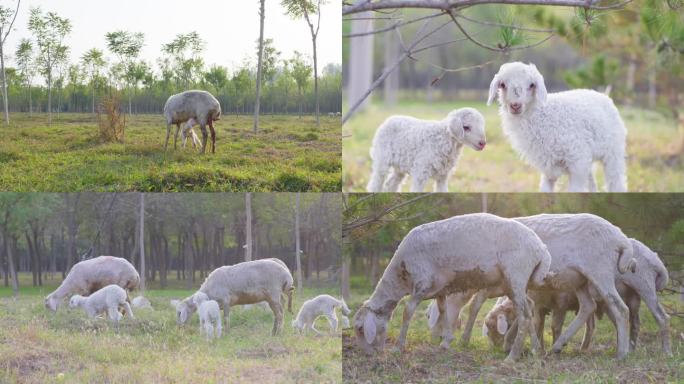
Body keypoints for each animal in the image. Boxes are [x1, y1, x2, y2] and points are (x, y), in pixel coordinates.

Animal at [352, 213, 552, 364]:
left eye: (361, 329)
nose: (368, 354)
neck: (400, 277)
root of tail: (541, 249)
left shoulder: (421, 284)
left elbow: (407, 312)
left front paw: (398, 347)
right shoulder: (439, 289)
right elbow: (443, 311)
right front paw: (446, 342)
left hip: (516, 275)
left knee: (524, 316)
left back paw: (512, 357)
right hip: (515, 283)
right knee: (529, 310)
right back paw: (536, 351)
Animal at [488, 62, 628, 192]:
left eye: (532, 85)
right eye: (502, 84)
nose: (515, 105)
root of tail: (604, 95)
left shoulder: (577, 161)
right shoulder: (548, 168)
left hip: (613, 152)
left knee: (616, 181)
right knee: (592, 184)